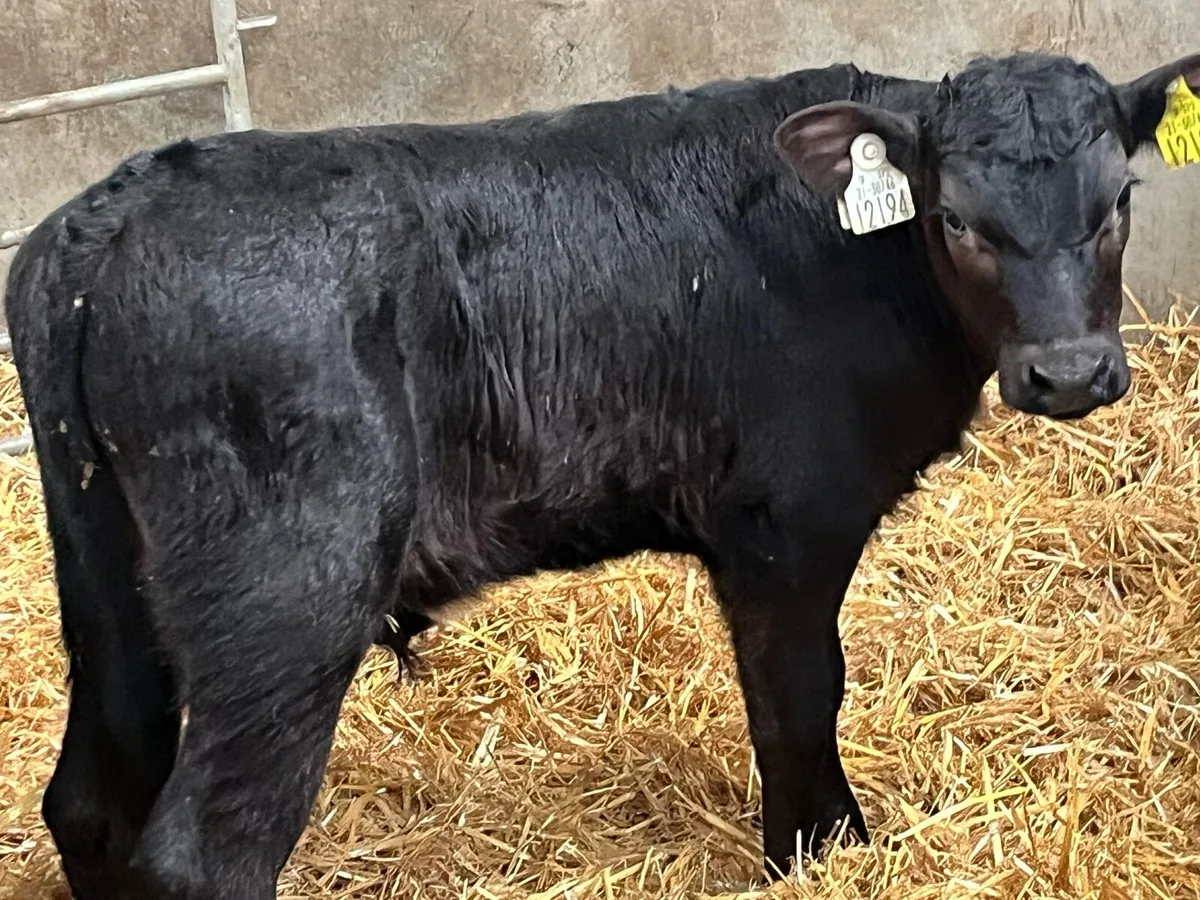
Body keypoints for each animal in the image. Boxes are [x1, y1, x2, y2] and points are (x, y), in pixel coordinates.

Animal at [6, 49, 1198, 900]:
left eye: (1118, 204)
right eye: (955, 218)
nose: (1069, 373)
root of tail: (113, 210)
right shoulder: (786, 525)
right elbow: (798, 700)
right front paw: (822, 856)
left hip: (108, 573)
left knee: (92, 799)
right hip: (288, 596)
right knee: (206, 851)